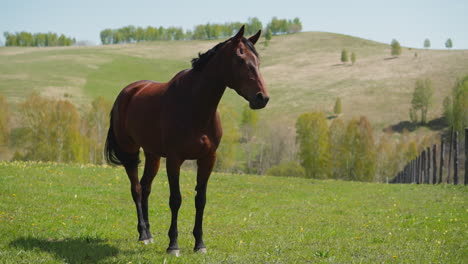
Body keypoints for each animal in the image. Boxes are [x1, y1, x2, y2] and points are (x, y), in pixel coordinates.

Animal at [104, 25, 268, 256]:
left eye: (258, 61)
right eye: (241, 60)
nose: (262, 98)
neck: (195, 106)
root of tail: (127, 92)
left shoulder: (208, 159)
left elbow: (201, 200)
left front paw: (200, 244)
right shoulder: (174, 160)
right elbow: (176, 200)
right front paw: (173, 245)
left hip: (153, 154)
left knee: (145, 187)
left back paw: (149, 233)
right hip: (131, 151)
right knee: (136, 188)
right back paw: (143, 234)